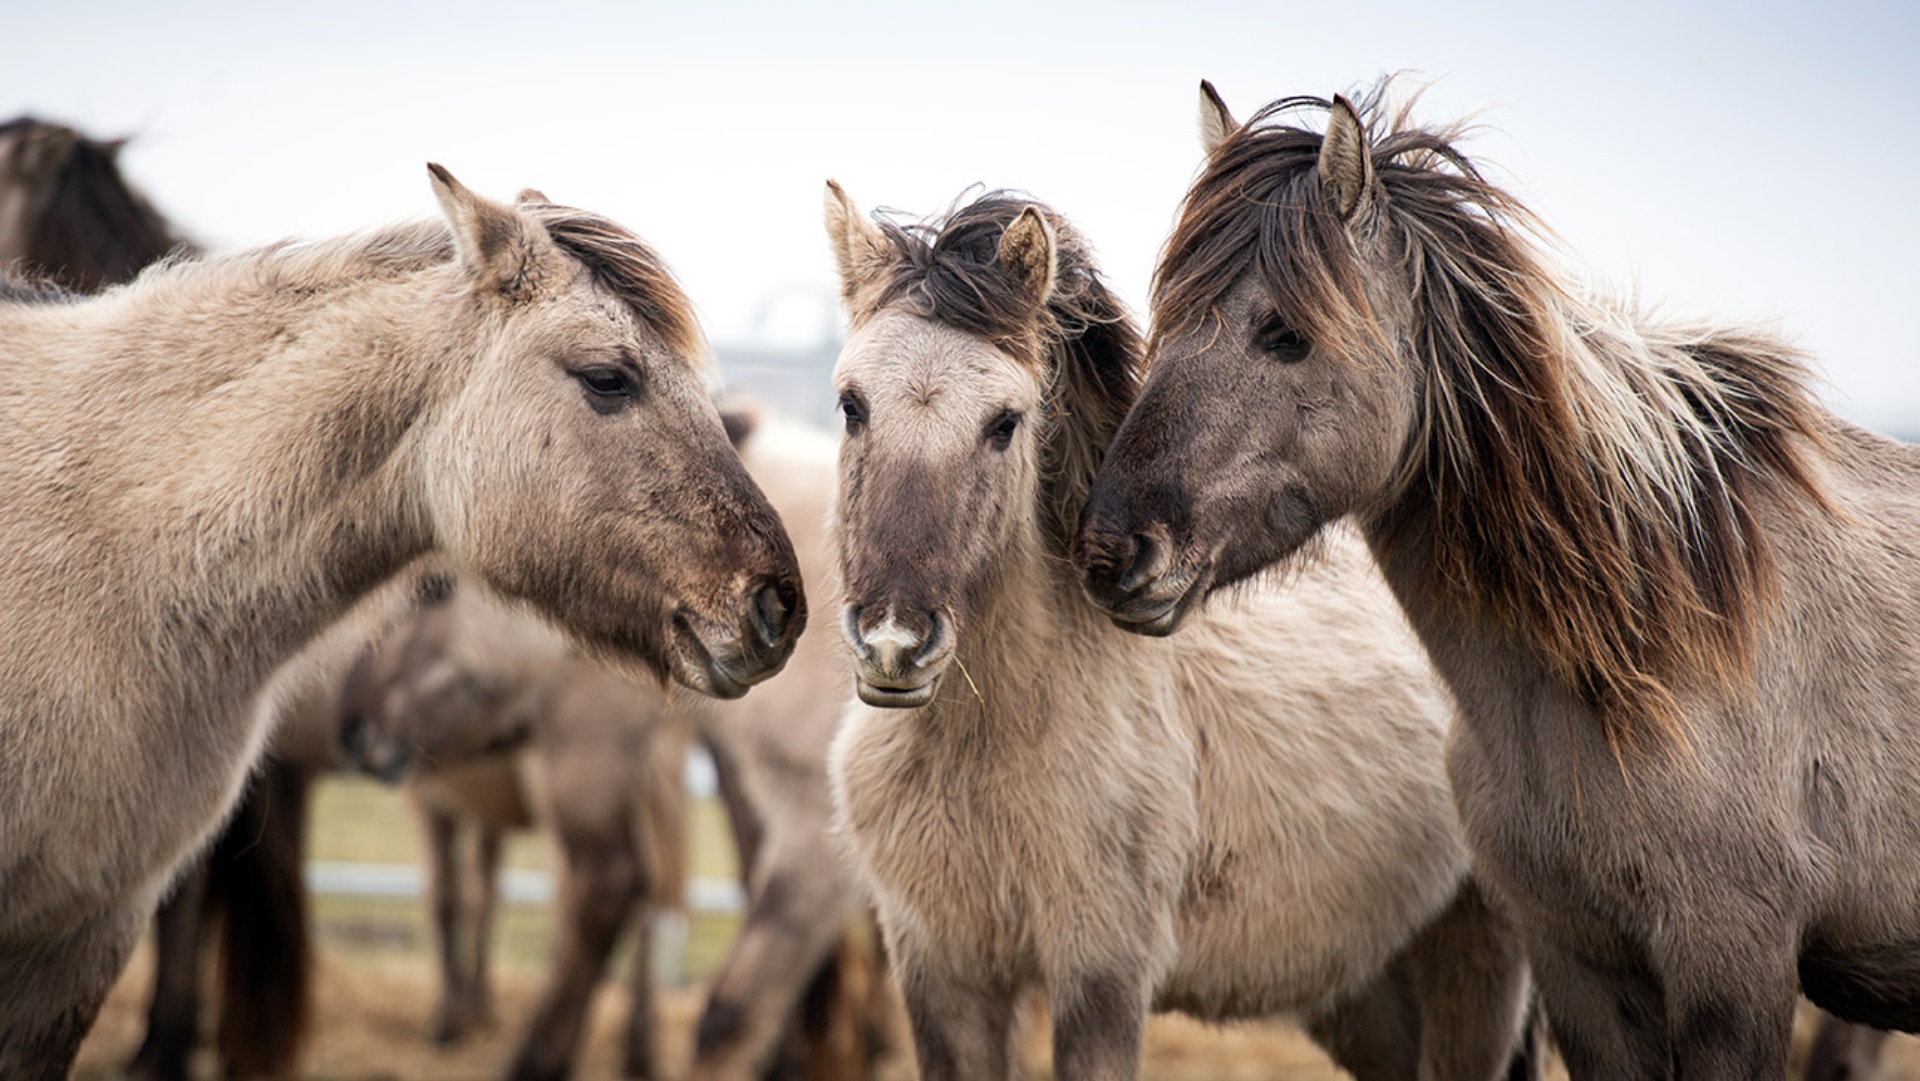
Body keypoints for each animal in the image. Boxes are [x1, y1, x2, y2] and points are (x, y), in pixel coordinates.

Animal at [823, 184, 1534, 1081]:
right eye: (852, 405)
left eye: (1005, 422)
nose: (894, 641)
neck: (993, 740)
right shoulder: (942, 973)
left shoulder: (1101, 977)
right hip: (1362, 990)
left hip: (1479, 961)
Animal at [1074, 80, 1920, 1079]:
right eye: (1165, 320)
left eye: (1285, 333)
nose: (1112, 550)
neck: (1642, 648)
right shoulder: (1576, 961)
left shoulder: (1732, 968)